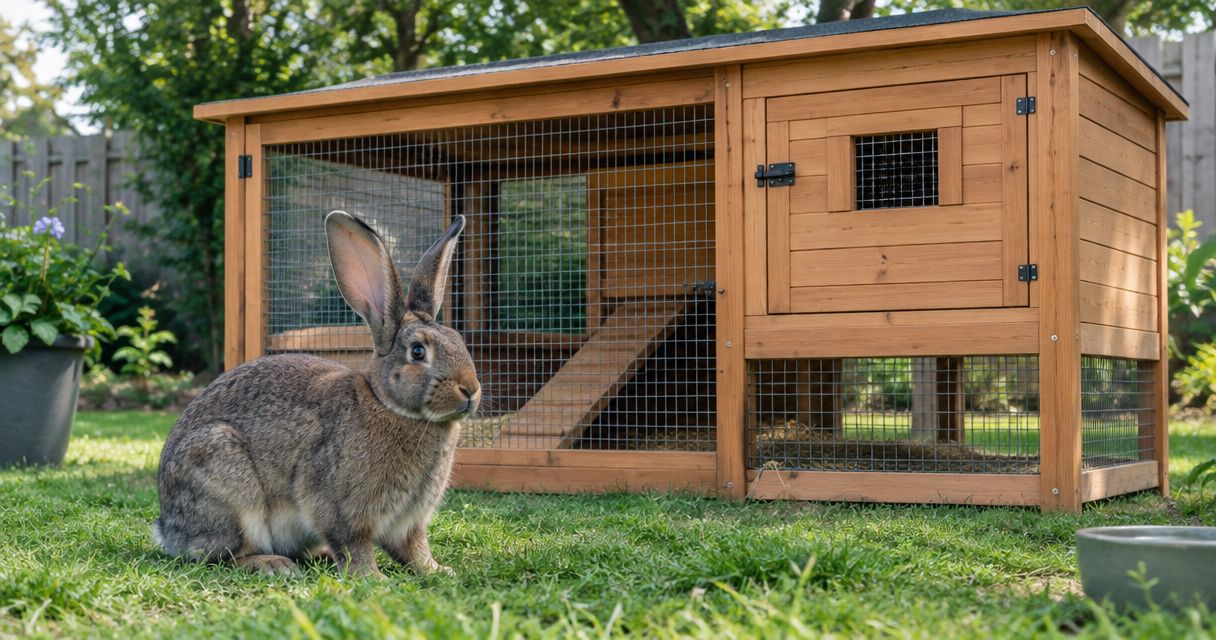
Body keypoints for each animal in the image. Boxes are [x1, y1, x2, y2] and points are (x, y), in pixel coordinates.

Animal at [153, 211, 479, 578]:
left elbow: (415, 549)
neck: (390, 405)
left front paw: (439, 571)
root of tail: (168, 530)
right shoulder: (339, 508)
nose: (471, 389)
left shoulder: (409, 522)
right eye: (418, 352)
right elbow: (354, 545)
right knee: (225, 554)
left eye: (459, 341)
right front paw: (373, 577)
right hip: (227, 480)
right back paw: (274, 564)